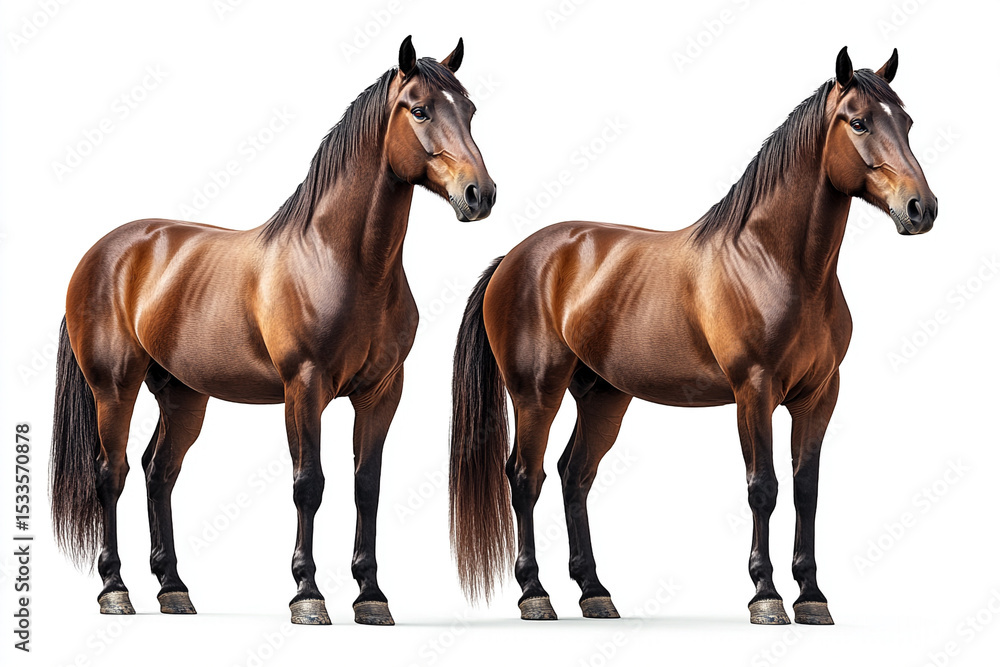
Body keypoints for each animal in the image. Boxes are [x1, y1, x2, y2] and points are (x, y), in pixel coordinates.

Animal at [50, 36, 495, 626]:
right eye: (420, 110)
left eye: (469, 111)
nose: (479, 195)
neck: (341, 259)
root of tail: (101, 253)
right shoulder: (303, 387)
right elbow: (309, 484)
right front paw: (307, 594)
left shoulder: (381, 392)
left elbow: (366, 486)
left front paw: (371, 595)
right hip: (114, 389)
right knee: (110, 473)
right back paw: (114, 589)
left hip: (183, 396)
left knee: (157, 472)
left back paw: (174, 589)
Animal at [449, 47, 936, 625]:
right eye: (859, 122)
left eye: (906, 122)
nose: (921, 208)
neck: (774, 261)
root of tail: (515, 257)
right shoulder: (753, 391)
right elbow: (763, 488)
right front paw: (766, 595)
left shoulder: (819, 396)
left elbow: (807, 490)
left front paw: (812, 596)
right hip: (536, 393)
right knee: (526, 477)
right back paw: (534, 594)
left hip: (603, 396)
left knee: (574, 476)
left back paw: (595, 592)